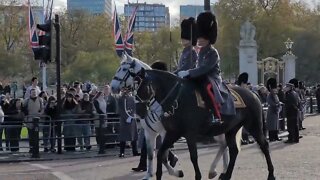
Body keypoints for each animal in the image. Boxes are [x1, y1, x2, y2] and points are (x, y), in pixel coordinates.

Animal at [133, 69, 276, 180]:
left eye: (143, 88)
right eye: (133, 88)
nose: (138, 113)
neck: (176, 98)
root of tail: (253, 93)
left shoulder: (189, 134)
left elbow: (193, 156)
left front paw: (197, 176)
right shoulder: (172, 133)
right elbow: (160, 153)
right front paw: (169, 173)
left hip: (254, 126)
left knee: (264, 145)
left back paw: (271, 174)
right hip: (231, 129)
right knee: (233, 150)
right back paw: (226, 175)